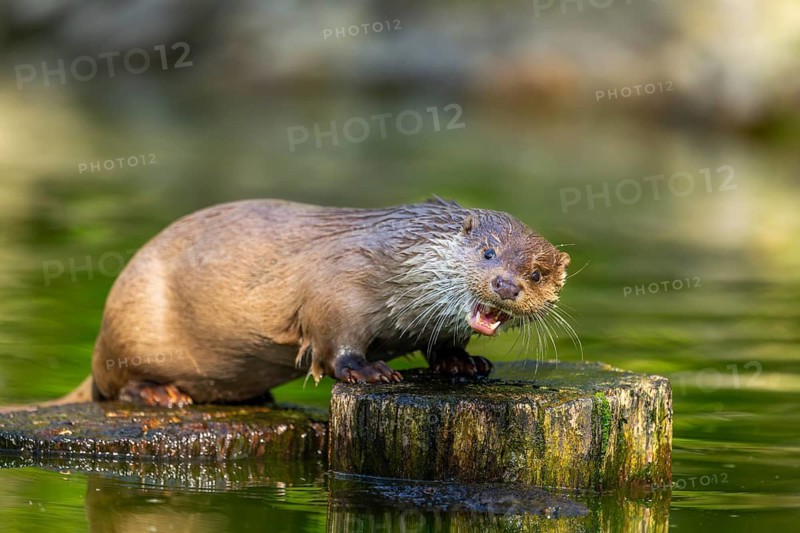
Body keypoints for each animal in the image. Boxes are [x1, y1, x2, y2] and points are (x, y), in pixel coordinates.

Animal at [27, 198, 572, 409]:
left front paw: (462, 364)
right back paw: (161, 394)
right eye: (488, 253)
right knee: (115, 385)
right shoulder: (339, 287)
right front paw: (372, 371)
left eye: (537, 273)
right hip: (130, 324)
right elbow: (336, 344)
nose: (506, 285)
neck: (398, 261)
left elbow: (444, 344)